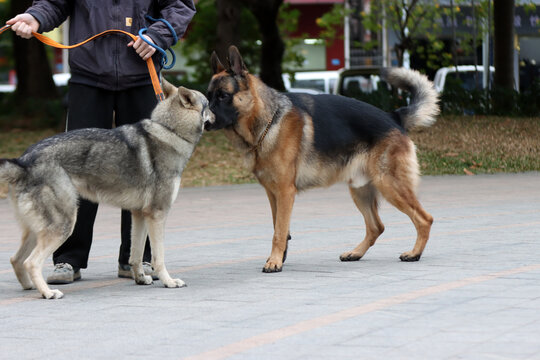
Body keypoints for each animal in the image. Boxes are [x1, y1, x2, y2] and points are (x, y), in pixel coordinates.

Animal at [207, 47, 438, 272]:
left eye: (223, 96)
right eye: (208, 96)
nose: (206, 122)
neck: (268, 121)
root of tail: (393, 116)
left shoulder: (285, 192)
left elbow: (279, 231)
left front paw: (275, 261)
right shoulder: (273, 194)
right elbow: (279, 228)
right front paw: (279, 257)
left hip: (389, 185)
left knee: (424, 219)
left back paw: (414, 253)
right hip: (360, 190)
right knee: (376, 227)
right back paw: (356, 253)